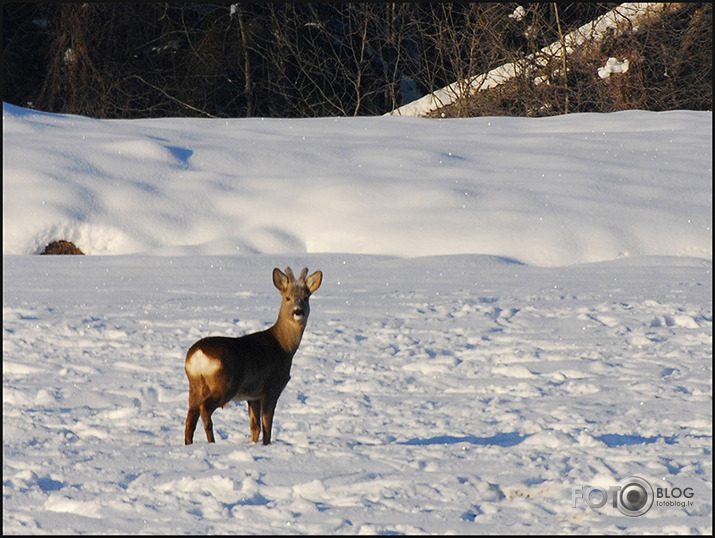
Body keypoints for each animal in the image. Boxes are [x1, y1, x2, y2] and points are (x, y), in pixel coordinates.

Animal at [183, 264, 324, 444]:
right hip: (225, 384)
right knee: (205, 409)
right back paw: (212, 442)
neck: (284, 347)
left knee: (190, 419)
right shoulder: (271, 387)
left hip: (194, 385)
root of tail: (198, 355)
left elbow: (255, 427)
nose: (298, 312)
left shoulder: (252, 395)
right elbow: (267, 426)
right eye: (287, 298)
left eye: (306, 297)